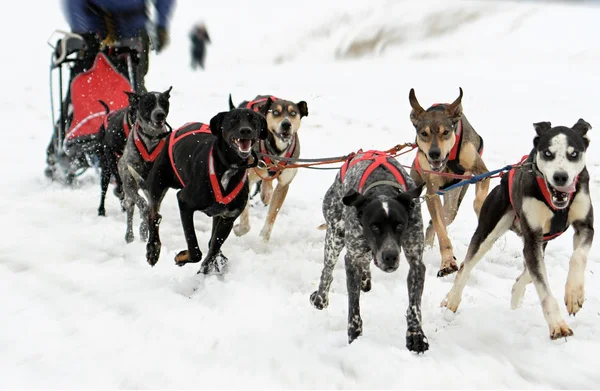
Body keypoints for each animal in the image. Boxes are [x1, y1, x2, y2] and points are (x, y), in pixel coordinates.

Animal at [116, 87, 171, 243]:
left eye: (164, 103)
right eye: (148, 103)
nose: (160, 114)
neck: (151, 138)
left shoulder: (160, 189)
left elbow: (152, 208)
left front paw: (144, 227)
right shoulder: (129, 183)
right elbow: (141, 203)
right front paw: (143, 217)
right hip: (128, 194)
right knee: (130, 209)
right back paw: (129, 235)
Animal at [134, 105, 272, 274]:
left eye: (254, 120)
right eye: (233, 119)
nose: (245, 130)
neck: (228, 167)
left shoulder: (228, 218)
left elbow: (213, 248)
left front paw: (204, 273)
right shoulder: (184, 202)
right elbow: (195, 250)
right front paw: (182, 257)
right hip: (157, 183)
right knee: (153, 214)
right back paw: (153, 249)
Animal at [310, 152, 426, 354]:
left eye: (400, 225)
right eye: (374, 226)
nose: (390, 256)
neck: (382, 187)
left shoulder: (416, 261)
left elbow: (414, 304)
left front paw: (415, 335)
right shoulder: (352, 259)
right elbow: (353, 306)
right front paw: (354, 336)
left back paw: (365, 279)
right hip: (335, 236)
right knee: (327, 270)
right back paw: (320, 299)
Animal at [410, 87, 490, 278]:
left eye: (445, 132)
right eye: (424, 133)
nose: (434, 153)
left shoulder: (482, 172)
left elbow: (479, 200)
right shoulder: (431, 192)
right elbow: (441, 230)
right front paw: (447, 263)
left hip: (453, 202)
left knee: (440, 219)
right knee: (433, 224)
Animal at [442, 119, 592, 340]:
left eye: (573, 154)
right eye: (548, 153)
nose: (561, 177)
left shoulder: (584, 226)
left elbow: (577, 256)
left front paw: (574, 294)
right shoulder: (532, 237)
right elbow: (543, 288)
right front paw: (557, 325)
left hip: (541, 241)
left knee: (529, 271)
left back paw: (516, 295)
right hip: (489, 230)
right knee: (465, 267)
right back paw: (451, 299)